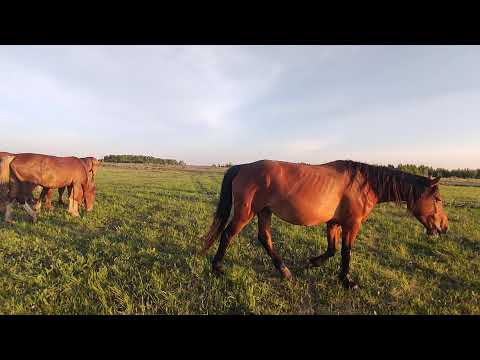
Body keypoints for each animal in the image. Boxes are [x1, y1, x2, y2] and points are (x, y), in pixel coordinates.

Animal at [201, 160, 448, 290]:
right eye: (437, 199)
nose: (444, 228)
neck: (363, 184)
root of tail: (242, 166)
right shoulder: (351, 225)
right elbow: (346, 252)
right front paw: (347, 280)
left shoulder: (334, 223)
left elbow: (332, 249)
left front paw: (313, 262)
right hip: (246, 213)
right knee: (227, 235)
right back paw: (217, 268)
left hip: (264, 212)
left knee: (265, 238)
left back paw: (285, 271)